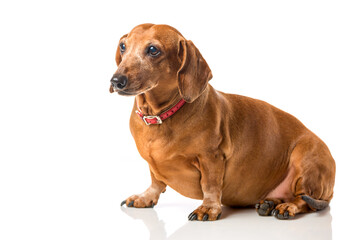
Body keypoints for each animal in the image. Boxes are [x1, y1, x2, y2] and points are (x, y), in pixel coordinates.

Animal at [109, 23, 334, 220]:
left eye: (153, 50)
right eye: (123, 46)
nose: (116, 81)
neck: (161, 116)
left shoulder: (211, 158)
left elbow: (210, 185)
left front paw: (208, 208)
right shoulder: (153, 164)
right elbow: (156, 181)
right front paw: (145, 197)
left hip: (305, 157)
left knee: (303, 199)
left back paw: (287, 206)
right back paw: (270, 203)